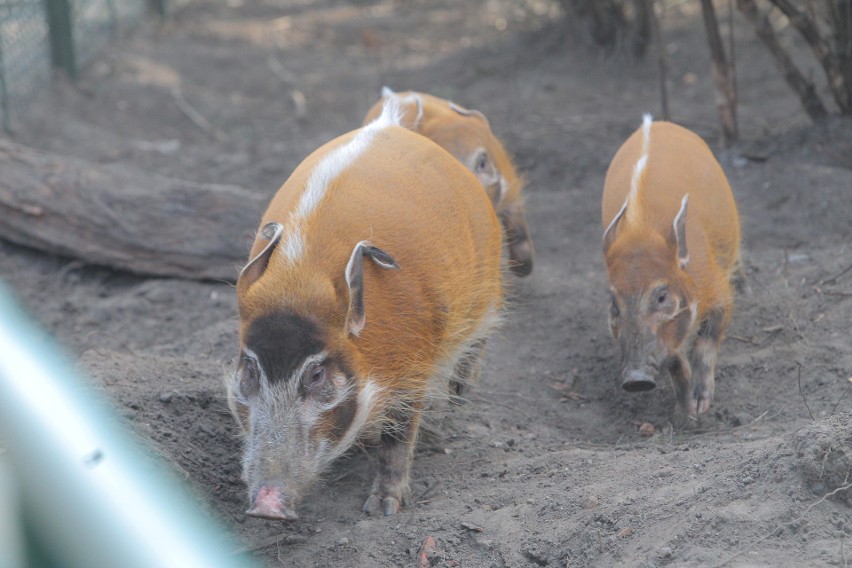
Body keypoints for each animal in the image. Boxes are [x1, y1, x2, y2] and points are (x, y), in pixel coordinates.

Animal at [226, 97, 506, 520]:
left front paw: (382, 509)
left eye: (315, 375)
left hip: (486, 286)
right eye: (251, 369)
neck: (297, 285)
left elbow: (399, 435)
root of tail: (391, 124)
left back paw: (458, 396)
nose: (267, 507)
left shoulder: (412, 370)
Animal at [600, 114, 740, 418]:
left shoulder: (720, 294)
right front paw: (684, 412)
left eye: (662, 296)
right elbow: (675, 361)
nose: (636, 379)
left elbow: (706, 342)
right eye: (614, 304)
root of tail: (654, 122)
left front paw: (700, 407)